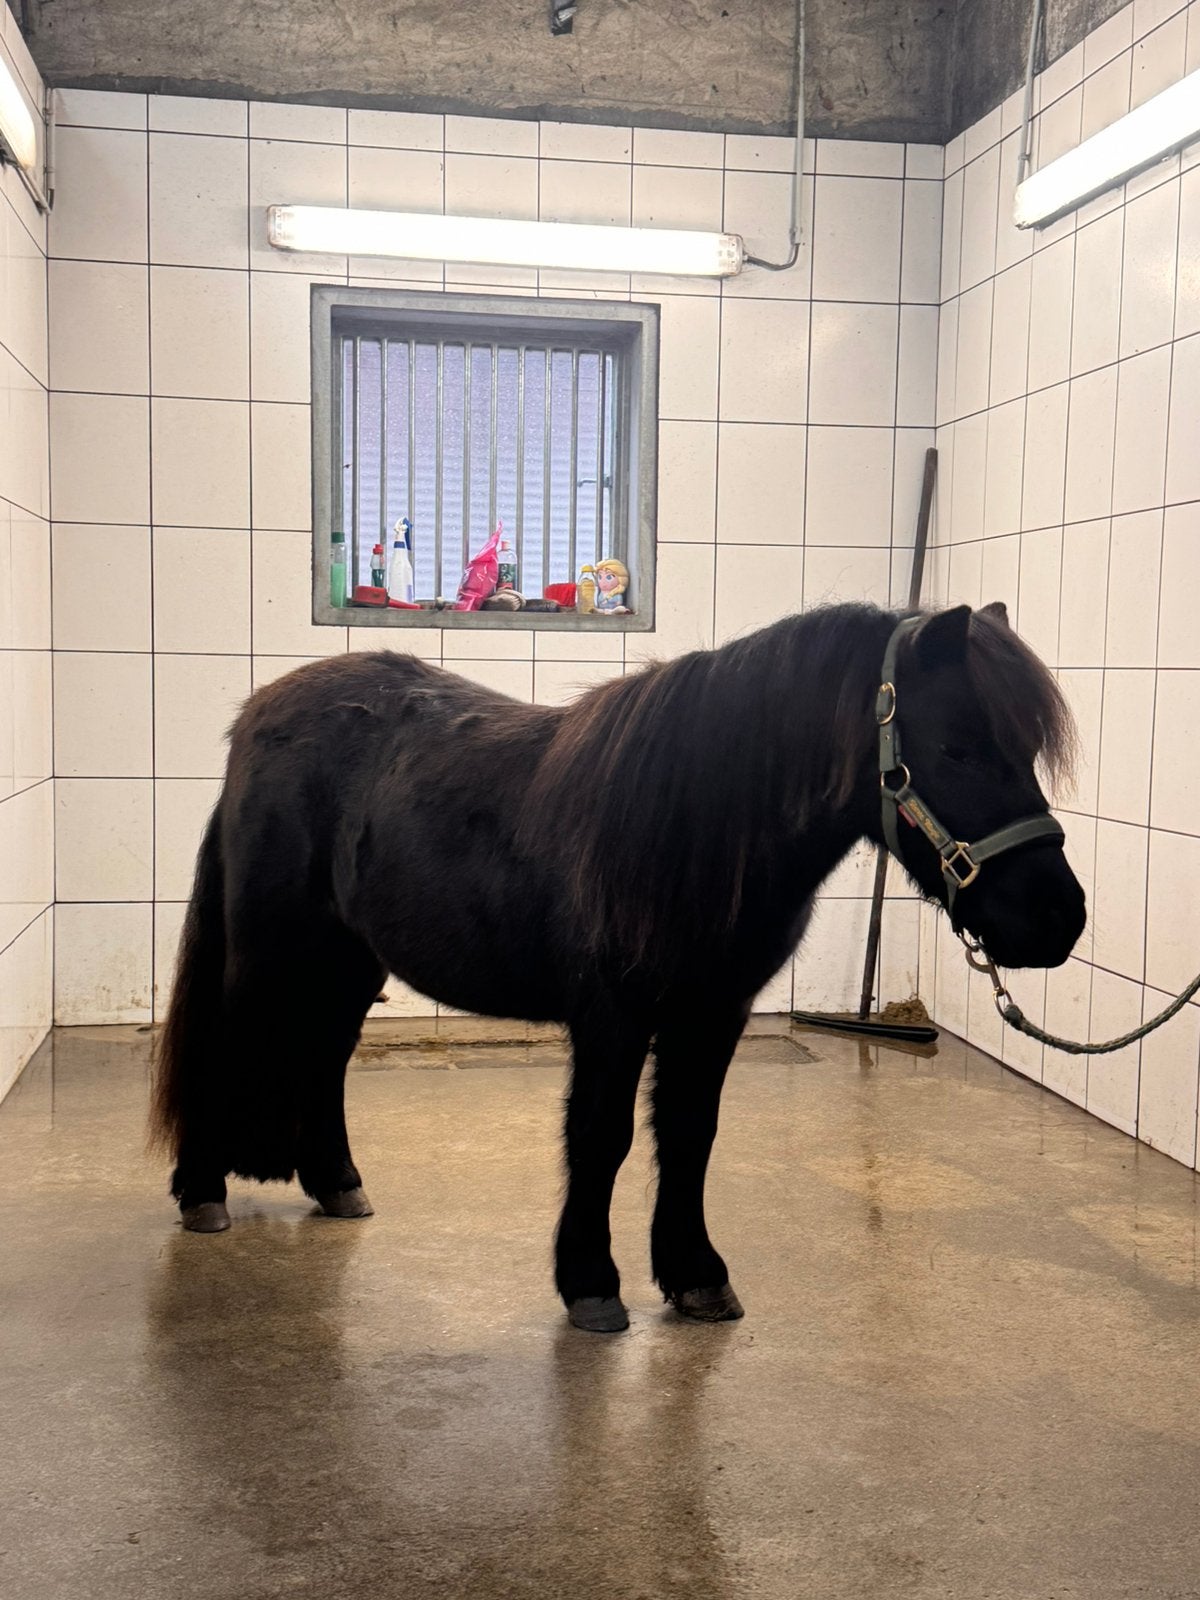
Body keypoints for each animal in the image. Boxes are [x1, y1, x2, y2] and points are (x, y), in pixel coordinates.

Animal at [150, 600, 1085, 1332]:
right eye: (959, 747)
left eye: (1027, 751)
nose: (1059, 917)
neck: (696, 819)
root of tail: (257, 718)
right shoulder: (612, 1014)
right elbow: (601, 1137)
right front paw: (592, 1285)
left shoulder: (714, 1013)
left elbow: (691, 1135)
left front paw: (696, 1276)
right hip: (268, 948)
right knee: (224, 1045)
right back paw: (203, 1193)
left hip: (348, 958)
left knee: (325, 1057)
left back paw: (337, 1182)